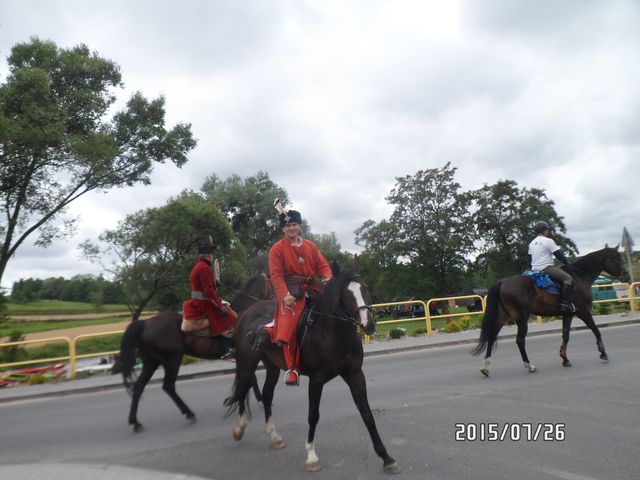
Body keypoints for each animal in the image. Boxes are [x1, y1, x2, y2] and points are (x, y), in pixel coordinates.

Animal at [119, 272, 273, 431]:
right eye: (271, 284)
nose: (276, 300)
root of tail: (145, 323)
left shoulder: (240, 358)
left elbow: (249, 378)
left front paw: (238, 398)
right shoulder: (243, 356)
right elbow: (250, 378)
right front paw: (255, 399)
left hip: (152, 362)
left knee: (139, 387)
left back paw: (135, 421)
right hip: (172, 360)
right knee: (168, 386)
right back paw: (188, 413)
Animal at [224, 265, 401, 474]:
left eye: (364, 288)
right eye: (345, 294)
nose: (369, 324)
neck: (333, 332)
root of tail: (246, 313)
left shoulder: (355, 375)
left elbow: (367, 414)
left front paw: (386, 457)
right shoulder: (316, 380)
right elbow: (313, 416)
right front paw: (311, 456)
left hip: (271, 366)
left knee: (266, 394)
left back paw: (274, 437)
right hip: (247, 363)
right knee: (243, 389)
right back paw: (239, 429)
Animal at [473, 245, 629, 376]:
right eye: (617, 259)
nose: (626, 276)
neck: (579, 277)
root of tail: (502, 282)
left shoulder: (568, 314)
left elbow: (565, 336)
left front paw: (565, 359)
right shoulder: (583, 312)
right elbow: (596, 330)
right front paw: (603, 353)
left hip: (503, 316)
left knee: (492, 337)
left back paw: (486, 367)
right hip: (522, 317)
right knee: (520, 340)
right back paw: (529, 366)